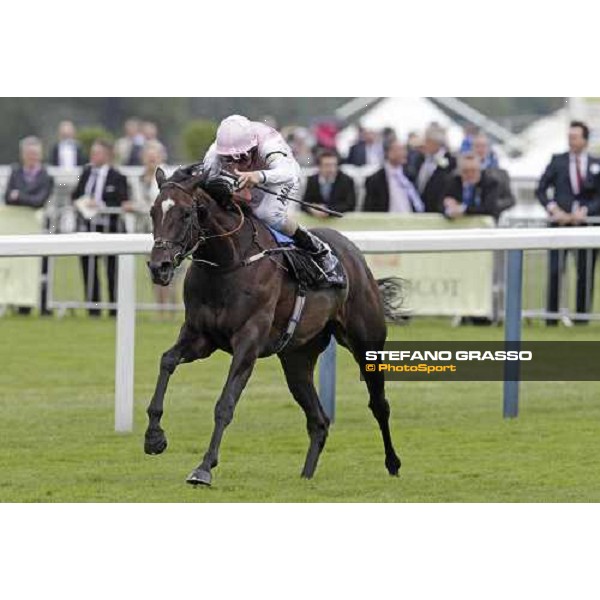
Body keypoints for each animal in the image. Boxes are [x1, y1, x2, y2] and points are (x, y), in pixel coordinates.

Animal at [143, 166, 400, 486]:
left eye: (187, 213)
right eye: (153, 212)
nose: (159, 267)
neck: (228, 262)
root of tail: (355, 255)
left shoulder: (249, 341)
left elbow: (225, 403)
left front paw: (203, 468)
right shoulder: (200, 337)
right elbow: (167, 361)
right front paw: (154, 437)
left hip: (367, 344)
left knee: (379, 404)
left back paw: (393, 463)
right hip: (297, 358)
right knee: (318, 421)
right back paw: (305, 476)